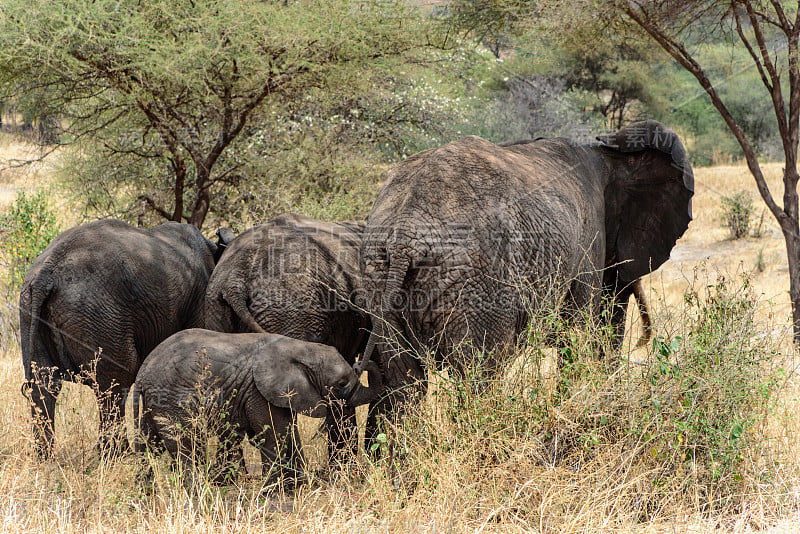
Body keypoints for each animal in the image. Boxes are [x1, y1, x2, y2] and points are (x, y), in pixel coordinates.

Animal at [19, 220, 234, 458]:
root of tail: (45, 273)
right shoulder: (198, 301)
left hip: (30, 310)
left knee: (45, 384)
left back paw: (45, 456)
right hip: (97, 312)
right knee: (116, 380)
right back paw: (119, 455)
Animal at [133, 328, 382, 488]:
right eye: (341, 384)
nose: (362, 362)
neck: (301, 348)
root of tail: (142, 373)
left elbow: (288, 431)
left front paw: (300, 484)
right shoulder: (259, 391)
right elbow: (273, 434)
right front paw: (276, 490)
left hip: (154, 403)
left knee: (149, 445)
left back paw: (145, 492)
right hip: (172, 400)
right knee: (186, 445)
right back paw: (198, 492)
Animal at [362, 122, 692, 440]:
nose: (641, 343)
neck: (607, 155)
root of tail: (404, 236)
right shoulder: (588, 244)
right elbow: (578, 334)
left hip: (381, 278)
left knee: (404, 384)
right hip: (477, 287)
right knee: (477, 375)